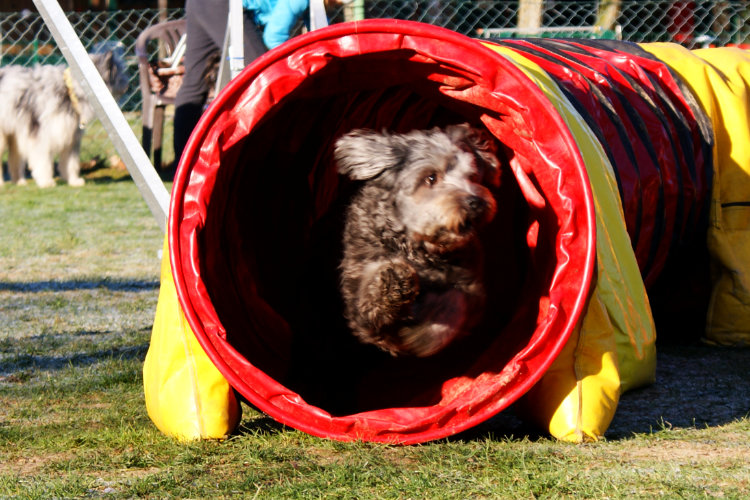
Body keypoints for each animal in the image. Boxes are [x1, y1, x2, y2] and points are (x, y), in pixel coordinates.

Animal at [0, 50, 129, 188]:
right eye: (119, 74)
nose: (128, 86)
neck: (69, 90)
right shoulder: (42, 137)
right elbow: (43, 161)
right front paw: (46, 182)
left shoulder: (71, 138)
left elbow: (71, 163)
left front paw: (73, 181)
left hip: (15, 135)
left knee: (14, 159)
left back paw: (19, 181)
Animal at [336, 125, 502, 360]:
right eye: (431, 178)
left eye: (472, 176)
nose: (476, 202)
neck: (419, 249)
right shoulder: (359, 304)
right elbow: (369, 296)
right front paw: (394, 282)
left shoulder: (472, 287)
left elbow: (456, 302)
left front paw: (424, 333)